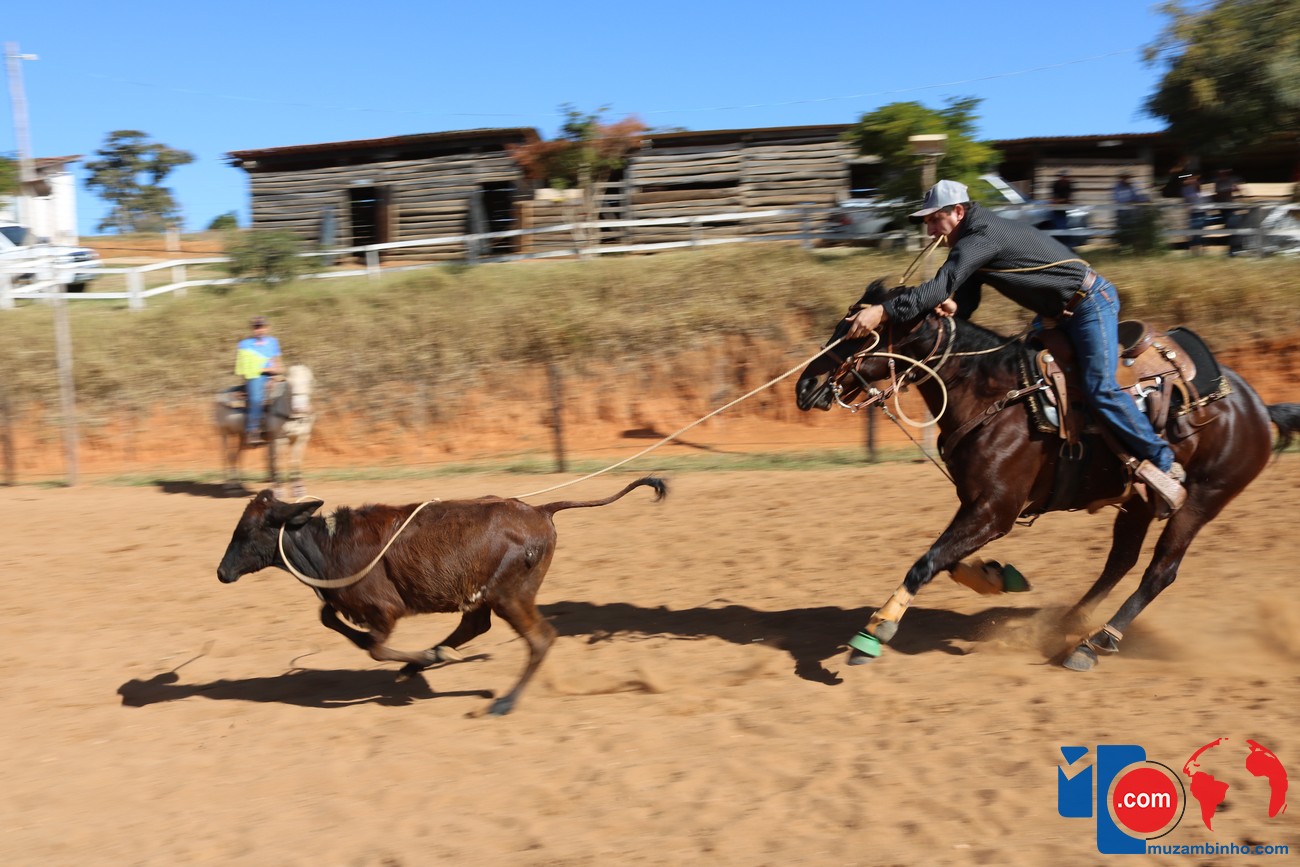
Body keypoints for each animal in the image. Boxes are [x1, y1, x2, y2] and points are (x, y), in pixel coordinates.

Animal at [216, 364, 316, 498]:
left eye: (309, 382)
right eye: (289, 384)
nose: (299, 408)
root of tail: (220, 395)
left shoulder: (302, 438)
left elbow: (295, 462)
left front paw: (299, 490)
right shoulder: (279, 439)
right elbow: (277, 462)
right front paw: (279, 490)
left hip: (242, 436)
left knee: (238, 456)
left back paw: (238, 485)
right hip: (228, 433)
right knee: (229, 457)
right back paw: (231, 487)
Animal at [795, 281, 1281, 671]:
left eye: (860, 332)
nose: (804, 386)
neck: (992, 393)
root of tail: (1255, 405)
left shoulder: (997, 509)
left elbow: (926, 562)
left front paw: (874, 632)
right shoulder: (977, 504)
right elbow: (946, 559)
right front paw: (997, 577)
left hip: (1201, 500)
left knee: (1160, 571)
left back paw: (1093, 643)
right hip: (1137, 503)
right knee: (1119, 561)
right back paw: (1067, 624)